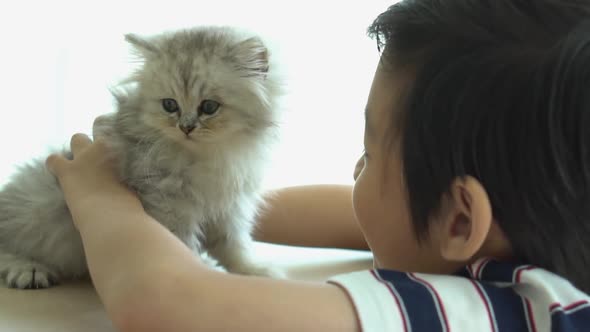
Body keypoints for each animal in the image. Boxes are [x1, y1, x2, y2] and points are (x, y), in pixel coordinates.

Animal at [0, 26, 284, 288]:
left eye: (209, 107)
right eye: (170, 105)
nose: (186, 127)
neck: (208, 156)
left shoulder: (231, 206)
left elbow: (234, 245)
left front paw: (255, 271)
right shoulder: (167, 205)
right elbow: (182, 244)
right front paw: (203, 268)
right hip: (35, 208)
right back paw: (29, 269)